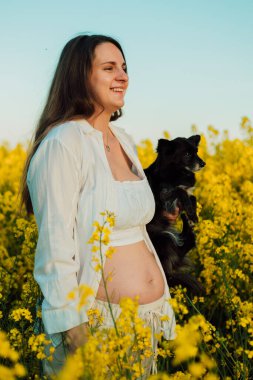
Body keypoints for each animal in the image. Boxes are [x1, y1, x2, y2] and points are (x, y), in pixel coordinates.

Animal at [144, 135, 206, 296]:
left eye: (196, 152)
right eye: (187, 154)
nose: (203, 163)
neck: (177, 171)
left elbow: (192, 197)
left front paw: (192, 215)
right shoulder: (165, 196)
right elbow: (180, 191)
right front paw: (190, 211)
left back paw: (188, 226)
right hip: (163, 238)